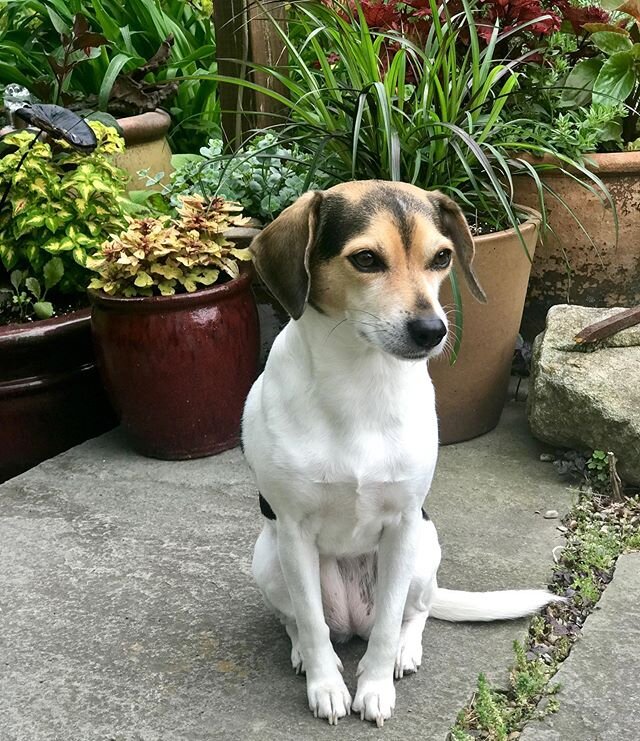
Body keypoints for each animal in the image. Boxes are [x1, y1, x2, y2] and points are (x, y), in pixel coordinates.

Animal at [240, 182, 560, 724]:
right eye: (366, 259)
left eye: (442, 257)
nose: (432, 331)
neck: (361, 381)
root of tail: (354, 622)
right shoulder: (294, 532)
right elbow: (310, 620)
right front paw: (327, 685)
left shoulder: (404, 525)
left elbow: (391, 622)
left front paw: (374, 686)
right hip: (269, 557)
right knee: (302, 621)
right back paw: (305, 652)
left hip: (423, 551)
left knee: (416, 612)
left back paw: (404, 651)